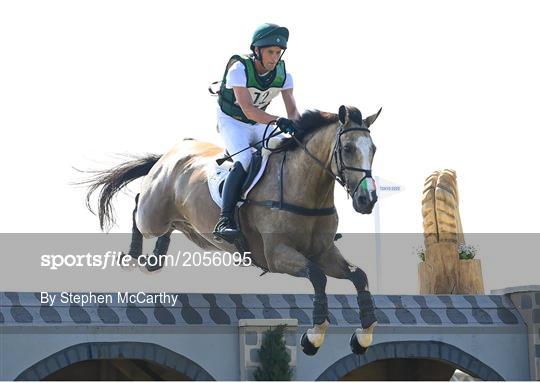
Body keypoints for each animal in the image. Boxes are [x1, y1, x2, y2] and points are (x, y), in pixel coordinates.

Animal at [82, 105, 382, 356]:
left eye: (374, 149)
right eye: (347, 148)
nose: (366, 200)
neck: (304, 187)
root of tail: (171, 152)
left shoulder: (324, 251)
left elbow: (359, 276)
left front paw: (363, 338)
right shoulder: (277, 255)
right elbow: (318, 277)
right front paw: (313, 338)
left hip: (191, 227)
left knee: (170, 227)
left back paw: (155, 260)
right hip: (153, 215)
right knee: (138, 209)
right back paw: (133, 258)